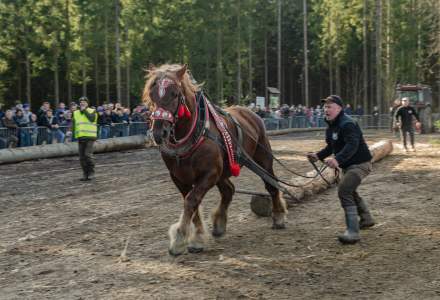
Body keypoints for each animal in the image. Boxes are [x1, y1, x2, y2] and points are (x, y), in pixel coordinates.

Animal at [143, 63, 288, 255]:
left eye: (174, 93)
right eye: (152, 94)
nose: (159, 133)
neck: (195, 134)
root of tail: (252, 113)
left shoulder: (210, 173)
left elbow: (191, 200)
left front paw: (182, 240)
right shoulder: (179, 177)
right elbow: (191, 203)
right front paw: (196, 237)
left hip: (262, 156)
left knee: (271, 183)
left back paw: (278, 216)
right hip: (224, 169)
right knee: (228, 190)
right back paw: (219, 224)